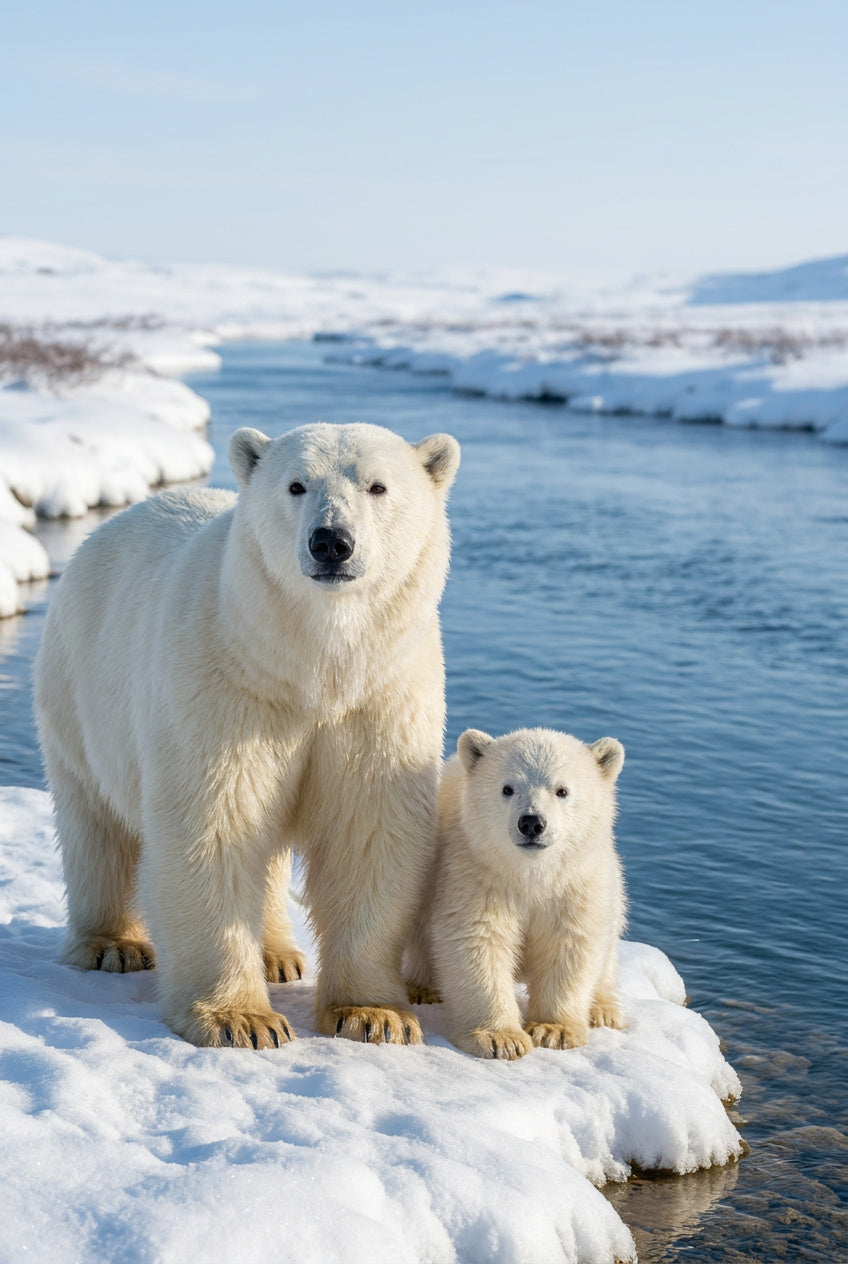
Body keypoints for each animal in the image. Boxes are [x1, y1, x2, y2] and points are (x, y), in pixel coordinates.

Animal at [34, 422, 460, 1049]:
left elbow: (367, 831)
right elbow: (217, 824)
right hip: (78, 686)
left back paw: (278, 954)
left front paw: (373, 1014)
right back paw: (112, 944)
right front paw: (241, 1020)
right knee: (95, 821)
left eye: (378, 486)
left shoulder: (379, 699)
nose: (331, 542)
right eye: (296, 484)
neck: (310, 665)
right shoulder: (227, 686)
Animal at [405, 727, 627, 1060]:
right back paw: (422, 988)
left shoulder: (575, 885)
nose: (532, 822)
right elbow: (480, 940)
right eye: (507, 788)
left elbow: (569, 943)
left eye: (562, 790)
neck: (530, 874)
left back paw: (603, 1009)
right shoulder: (477, 873)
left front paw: (554, 1030)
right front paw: (501, 1039)